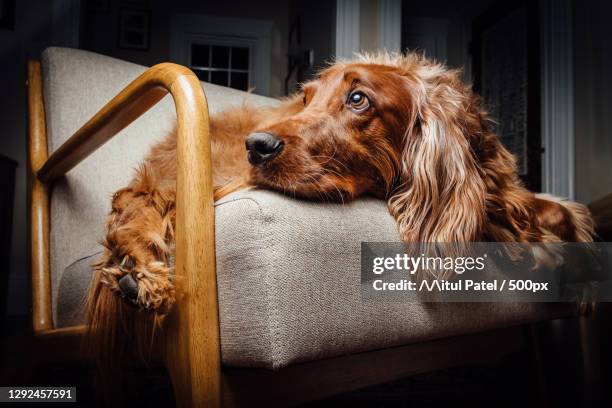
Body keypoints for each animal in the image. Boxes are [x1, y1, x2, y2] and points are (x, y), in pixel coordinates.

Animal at [86, 52, 592, 356]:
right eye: (307, 98)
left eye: (358, 98)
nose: (257, 145)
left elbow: (549, 208)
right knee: (137, 200)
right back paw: (137, 270)